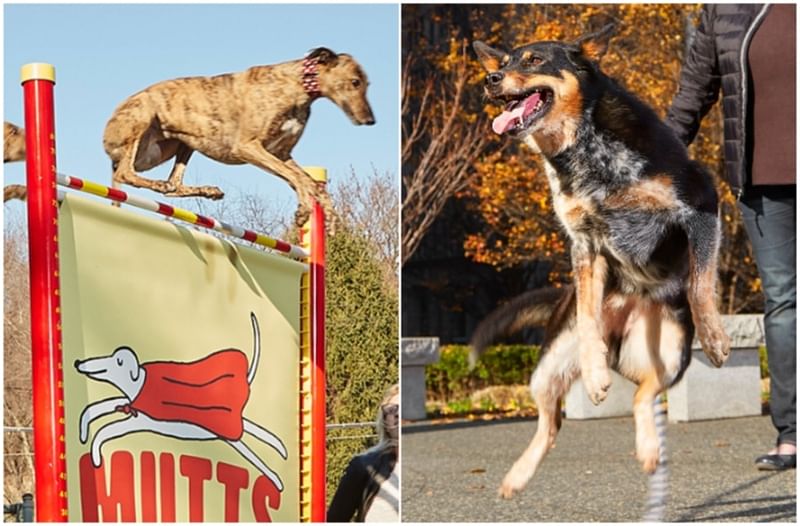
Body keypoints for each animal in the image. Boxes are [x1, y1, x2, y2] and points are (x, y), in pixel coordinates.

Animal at [103, 48, 376, 230]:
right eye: (355, 82)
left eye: (367, 83)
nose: (371, 120)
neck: (297, 87)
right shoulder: (249, 147)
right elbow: (300, 180)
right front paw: (304, 211)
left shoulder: (281, 154)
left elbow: (306, 180)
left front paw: (329, 216)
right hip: (143, 116)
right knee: (126, 173)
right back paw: (159, 184)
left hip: (179, 144)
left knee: (172, 185)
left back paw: (205, 190)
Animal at [476, 24, 732, 502]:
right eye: (503, 62)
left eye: (534, 60)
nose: (491, 79)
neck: (585, 153)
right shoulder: (584, 242)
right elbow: (588, 312)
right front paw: (594, 373)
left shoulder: (703, 204)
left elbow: (700, 283)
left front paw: (714, 335)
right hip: (546, 368)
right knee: (553, 422)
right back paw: (518, 475)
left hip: (671, 354)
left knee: (644, 396)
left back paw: (648, 447)